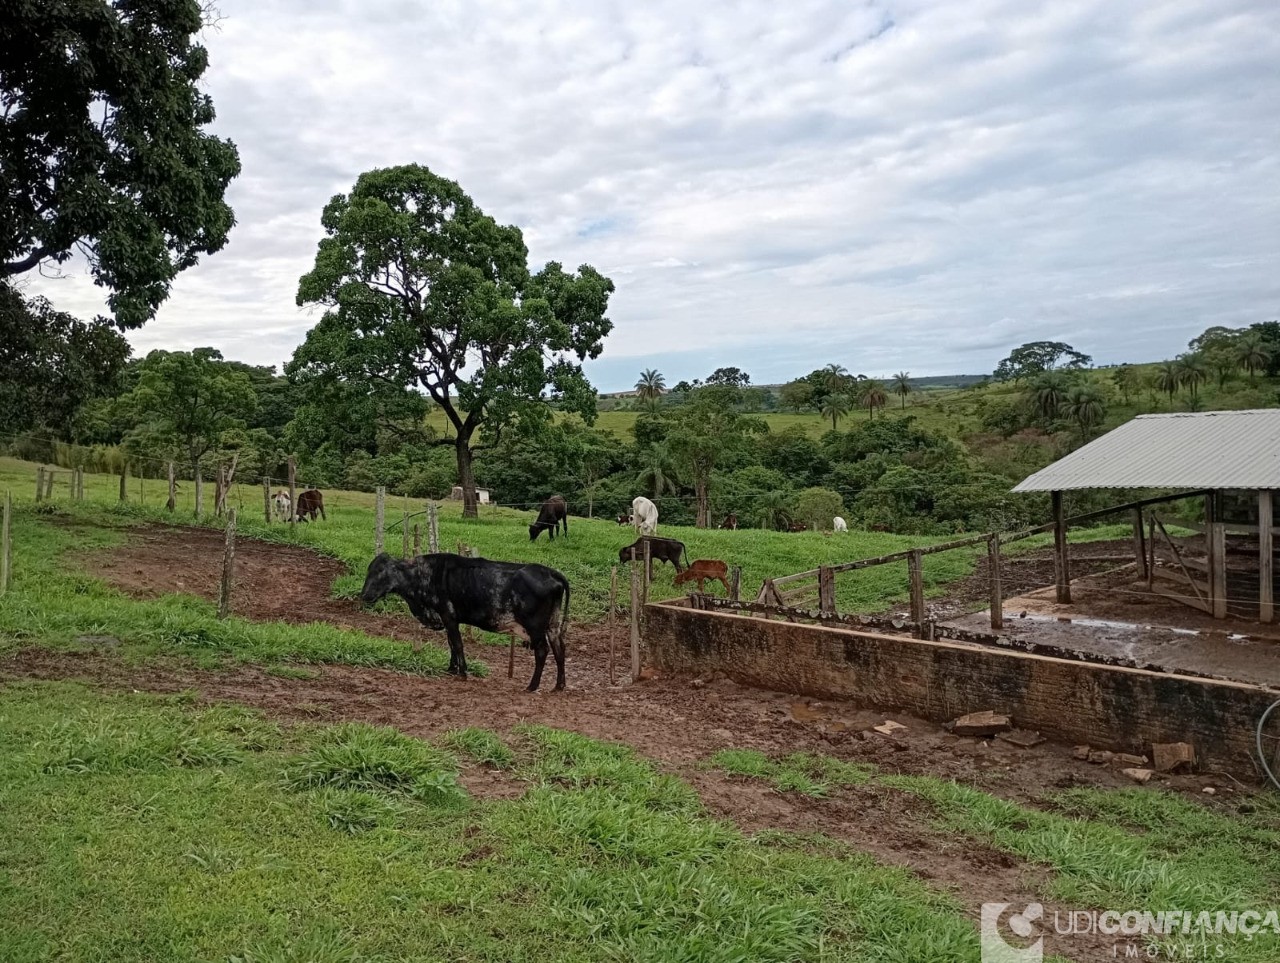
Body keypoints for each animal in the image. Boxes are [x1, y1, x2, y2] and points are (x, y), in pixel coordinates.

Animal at [360, 548, 570, 691]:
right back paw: (559, 686)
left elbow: (457, 644)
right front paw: (451, 669)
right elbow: (451, 644)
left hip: (535, 627)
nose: (364, 595)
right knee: (560, 649)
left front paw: (462, 673)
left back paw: (532, 686)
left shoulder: (448, 616)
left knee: (542, 651)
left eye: (381, 572)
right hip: (553, 624)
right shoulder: (447, 620)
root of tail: (550, 572)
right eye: (369, 570)